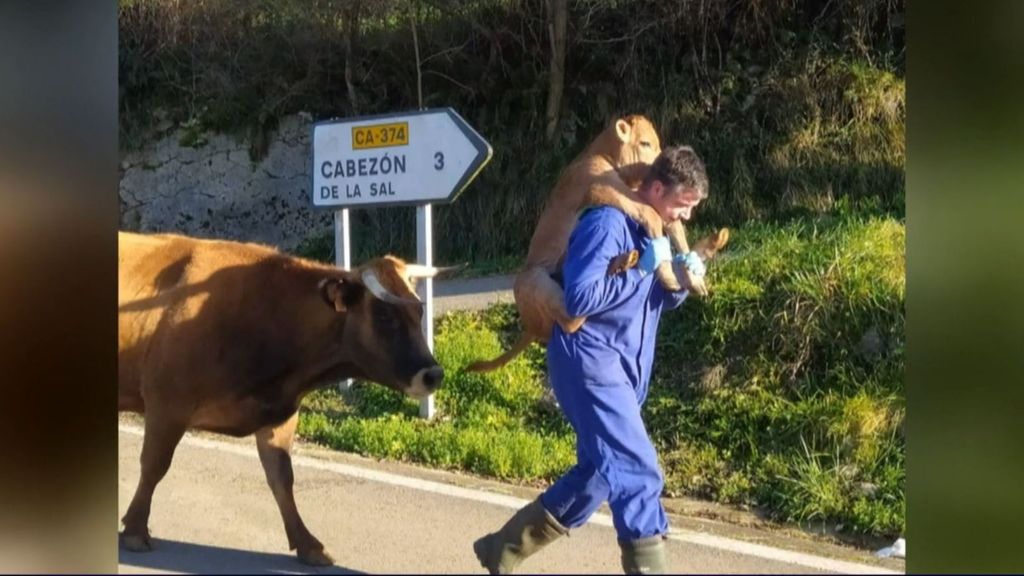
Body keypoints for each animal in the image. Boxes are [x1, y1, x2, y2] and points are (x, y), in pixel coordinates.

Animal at [117, 230, 450, 561]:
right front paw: (135, 530)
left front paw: (308, 544)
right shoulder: (167, 403)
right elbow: (154, 465)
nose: (433, 374)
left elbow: (282, 478)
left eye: (419, 310)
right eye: (384, 315)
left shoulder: (279, 413)